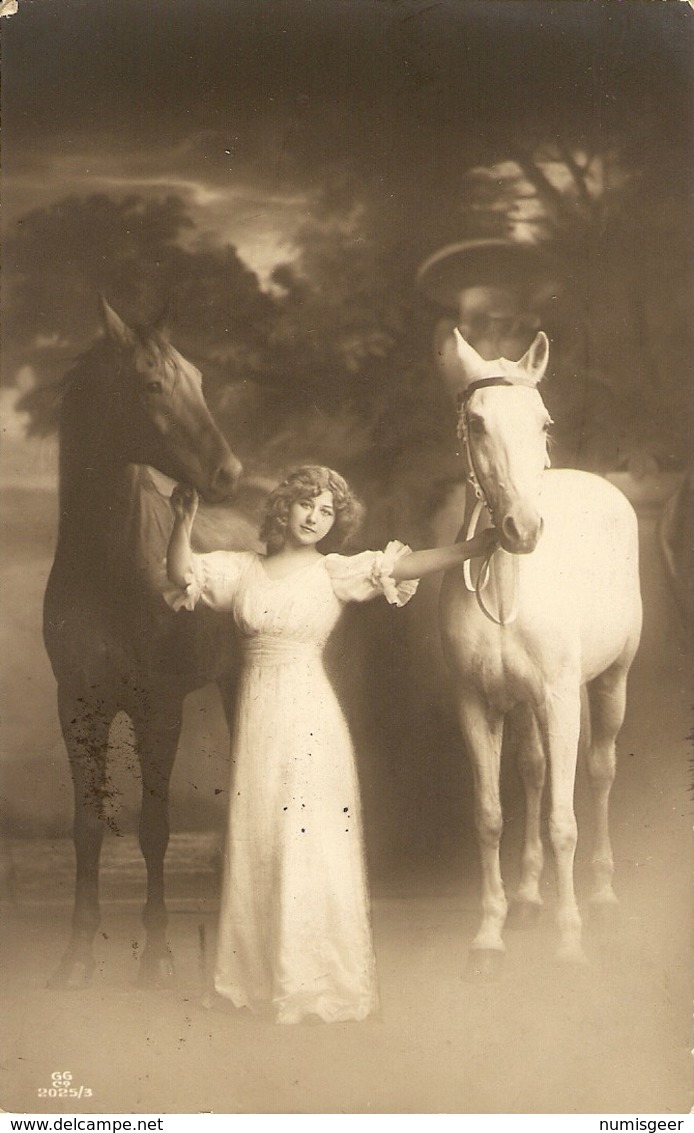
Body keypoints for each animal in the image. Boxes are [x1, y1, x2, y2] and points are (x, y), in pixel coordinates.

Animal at [43, 296, 249, 987]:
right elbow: (86, 829)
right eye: (154, 384)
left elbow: (154, 829)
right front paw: (77, 954)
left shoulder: (160, 709)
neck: (111, 569)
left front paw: (156, 954)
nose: (228, 472)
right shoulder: (78, 709)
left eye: (200, 381)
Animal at [441, 326, 643, 974]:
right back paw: (530, 897)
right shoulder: (476, 703)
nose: (523, 529)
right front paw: (489, 934)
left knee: (599, 772)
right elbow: (489, 816)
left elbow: (563, 821)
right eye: (477, 421)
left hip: (609, 684)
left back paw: (601, 895)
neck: (507, 583)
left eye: (543, 422)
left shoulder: (559, 699)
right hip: (526, 704)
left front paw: (570, 942)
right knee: (532, 771)